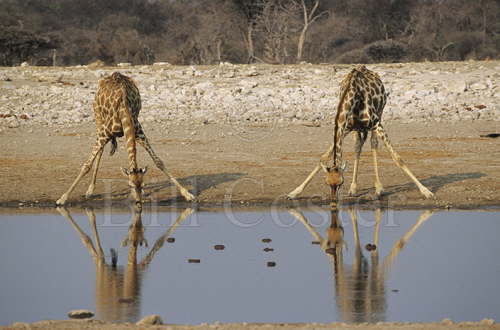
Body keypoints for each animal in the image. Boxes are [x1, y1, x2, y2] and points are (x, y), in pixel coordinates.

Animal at [55, 72, 194, 206]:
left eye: (142, 184)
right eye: (129, 185)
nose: (138, 202)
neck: (124, 110)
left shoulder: (139, 133)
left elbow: (158, 161)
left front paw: (187, 195)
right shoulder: (105, 133)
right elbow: (86, 166)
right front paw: (62, 199)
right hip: (98, 119)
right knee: (100, 152)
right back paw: (89, 190)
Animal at [288, 64, 436, 204]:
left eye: (341, 182)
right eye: (327, 182)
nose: (334, 200)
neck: (353, 96)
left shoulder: (376, 123)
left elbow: (397, 158)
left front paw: (426, 191)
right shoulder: (346, 128)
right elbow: (324, 157)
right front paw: (294, 192)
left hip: (379, 115)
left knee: (373, 143)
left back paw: (378, 188)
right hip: (358, 129)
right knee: (358, 146)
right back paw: (353, 188)